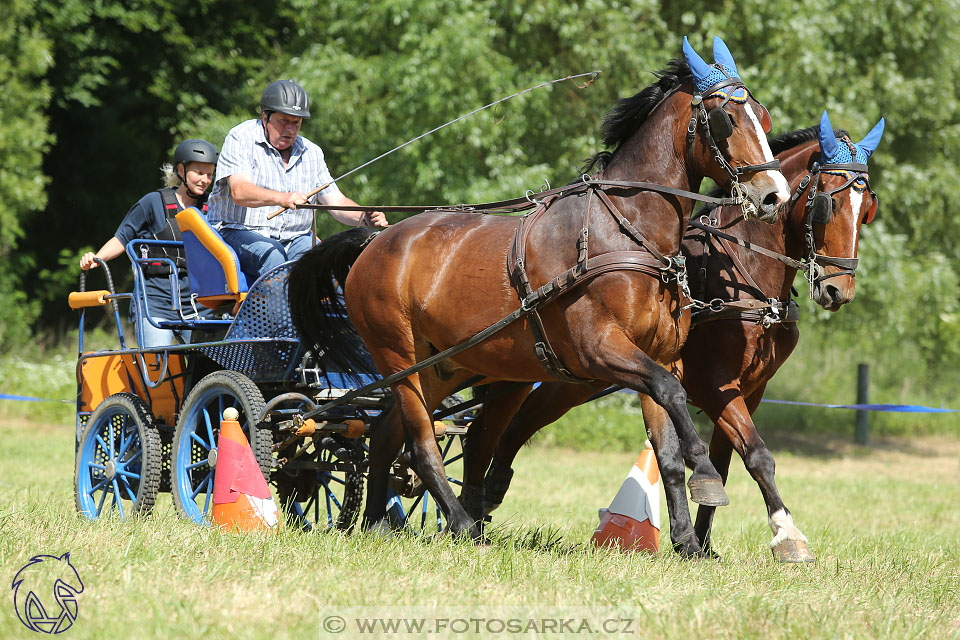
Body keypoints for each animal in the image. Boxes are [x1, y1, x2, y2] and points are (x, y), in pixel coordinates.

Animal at [286, 36, 788, 556]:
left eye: (765, 118)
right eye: (726, 118)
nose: (775, 195)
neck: (624, 232)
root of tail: (376, 241)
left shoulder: (661, 355)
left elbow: (666, 447)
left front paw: (688, 541)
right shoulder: (601, 349)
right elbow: (671, 396)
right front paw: (706, 475)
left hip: (442, 365)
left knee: (387, 433)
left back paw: (375, 523)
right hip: (396, 354)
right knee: (421, 444)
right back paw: (462, 525)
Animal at [480, 112, 884, 564]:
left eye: (866, 210)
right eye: (827, 203)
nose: (837, 290)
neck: (745, 274)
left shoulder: (750, 389)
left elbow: (729, 459)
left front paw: (704, 541)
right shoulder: (713, 384)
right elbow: (757, 454)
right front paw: (786, 534)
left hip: (578, 375)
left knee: (515, 425)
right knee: (499, 427)